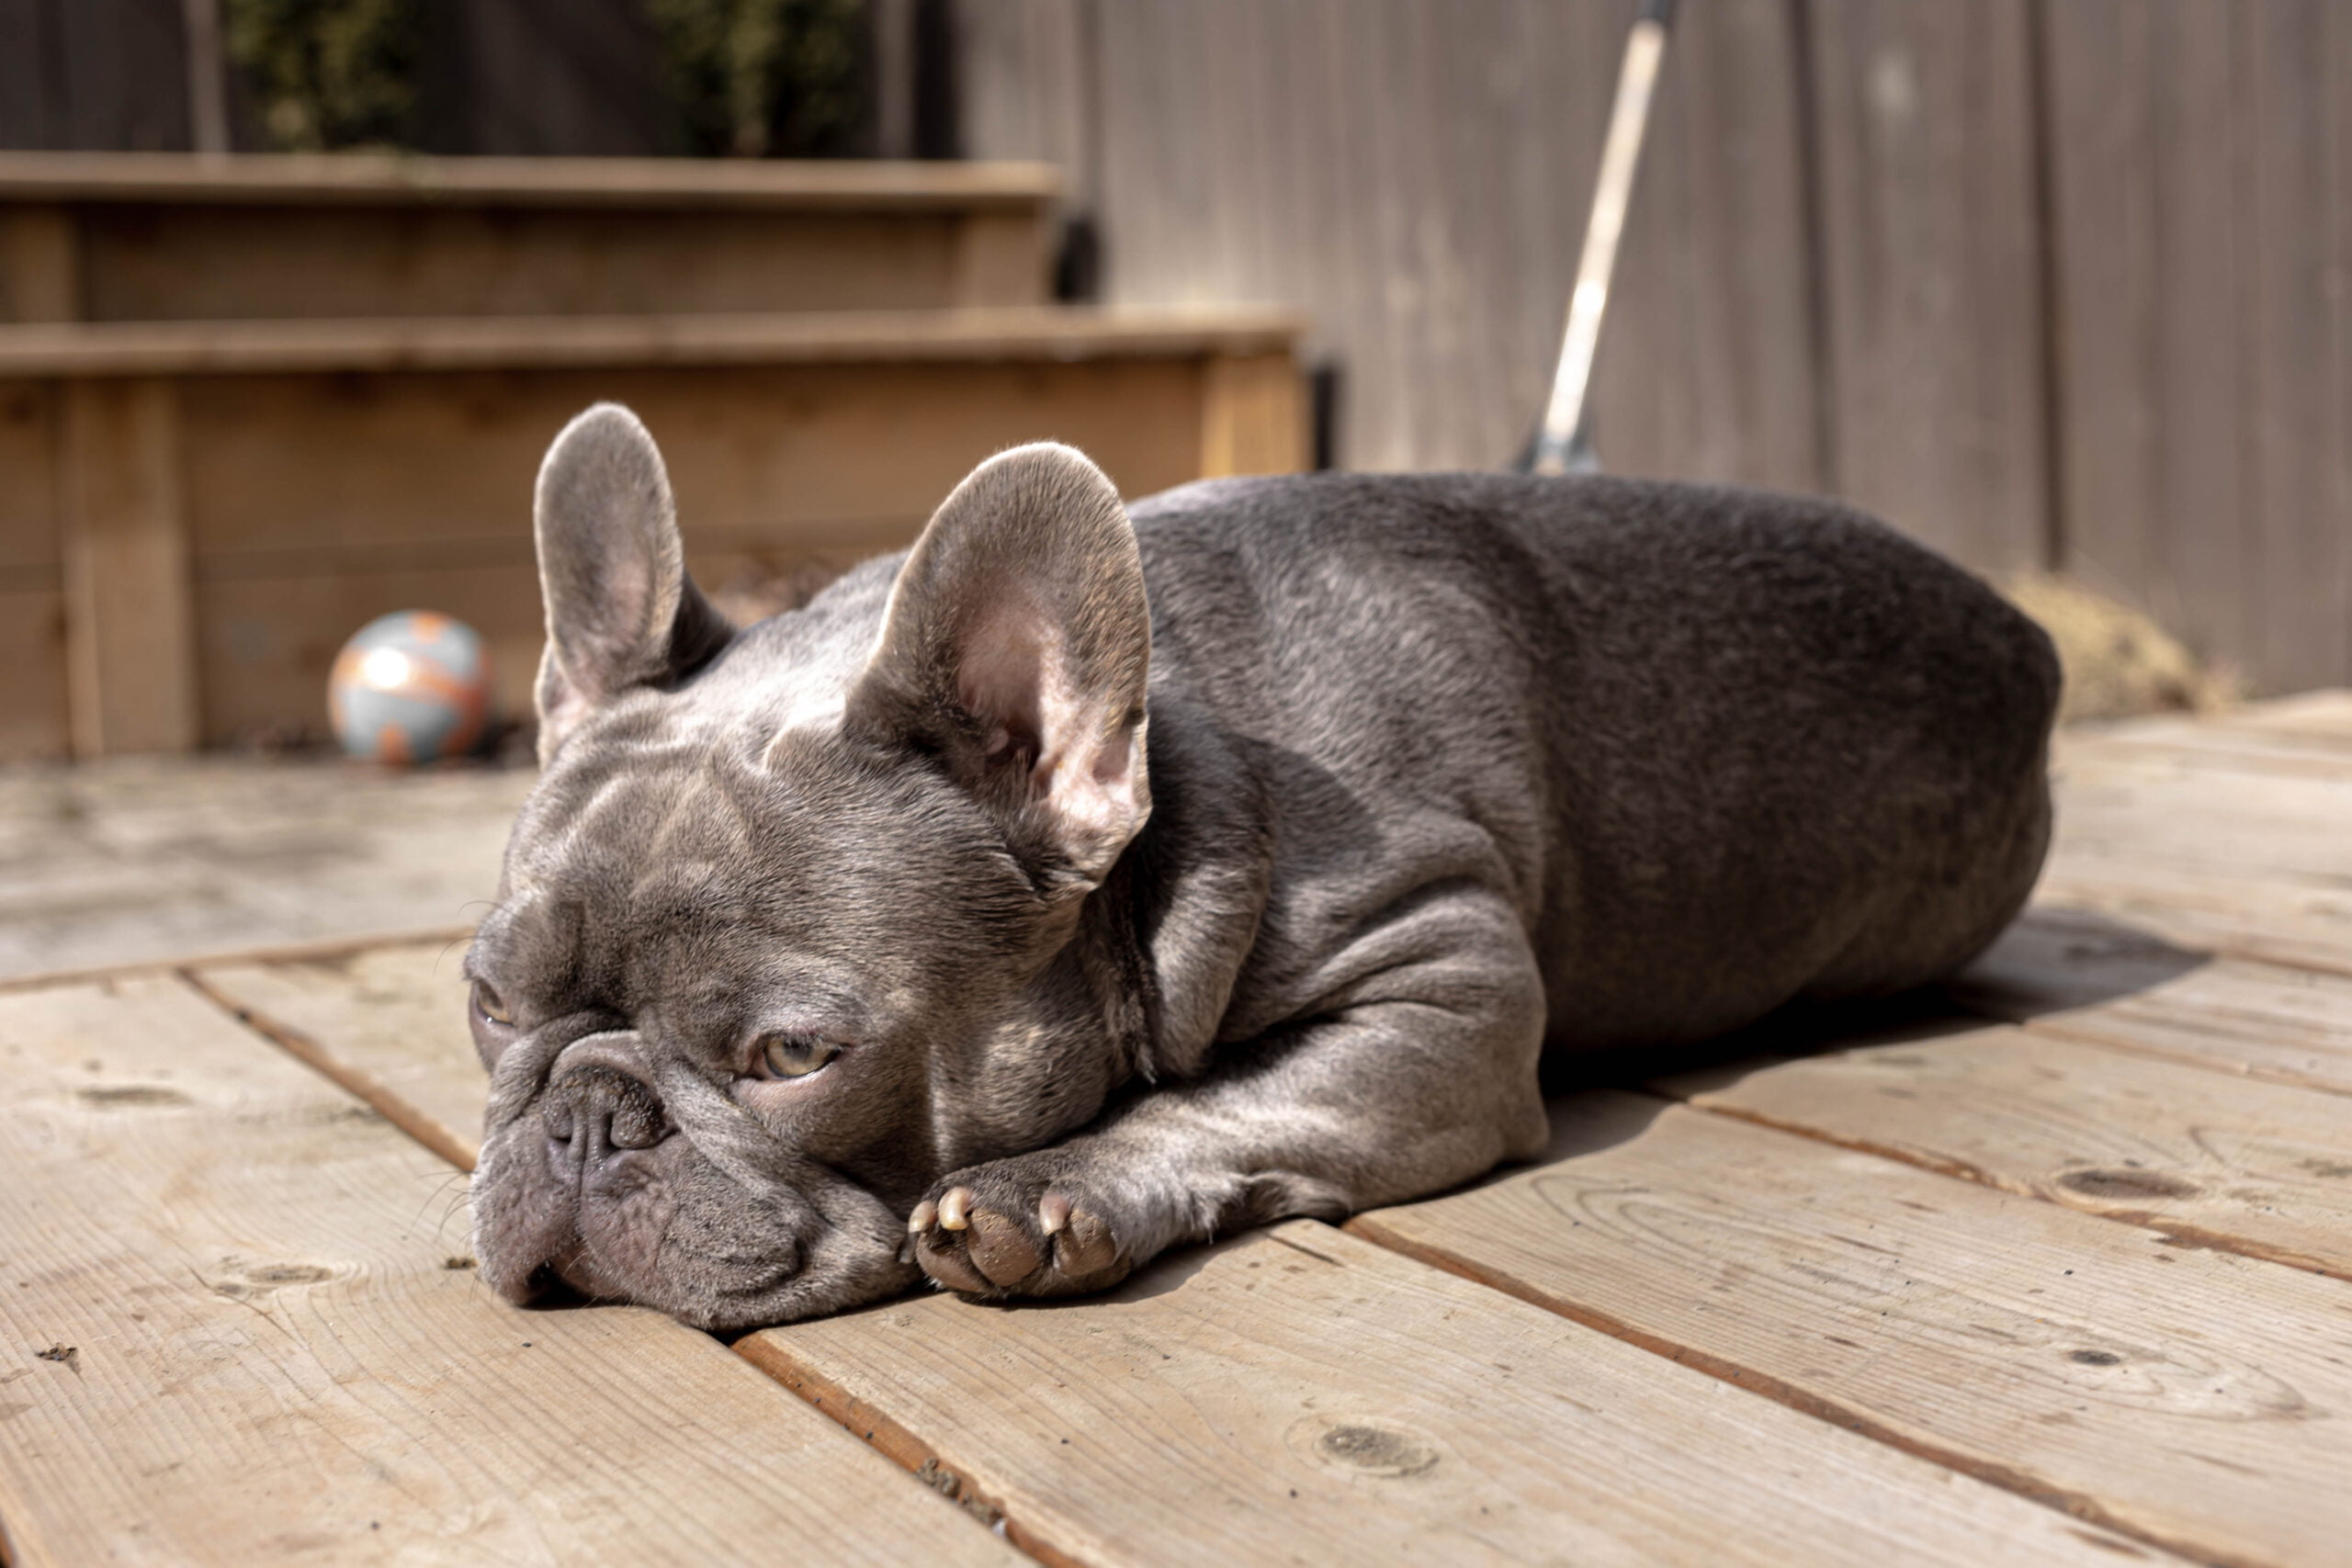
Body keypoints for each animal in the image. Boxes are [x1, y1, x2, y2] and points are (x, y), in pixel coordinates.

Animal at [465, 403, 2058, 1330]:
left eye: (794, 1054)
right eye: (488, 1002)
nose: (585, 1117)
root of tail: (2029, 638)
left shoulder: (1452, 982)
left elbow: (1221, 1100)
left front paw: (1057, 1189)